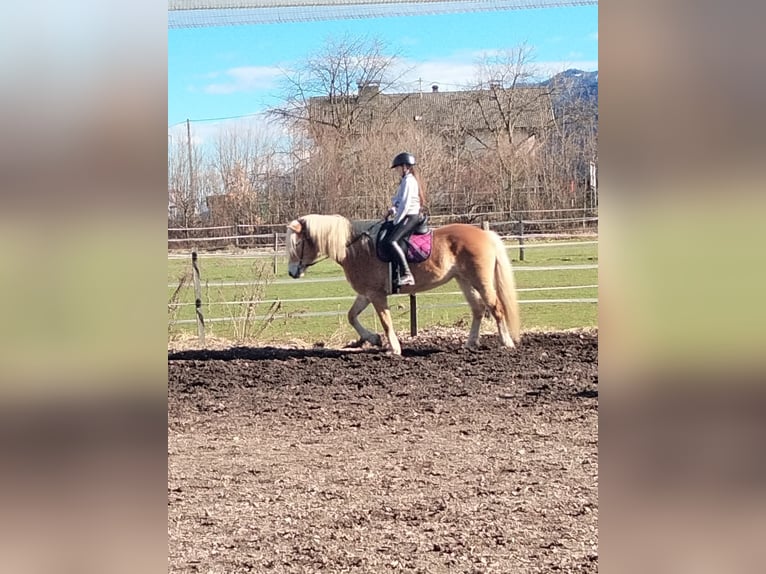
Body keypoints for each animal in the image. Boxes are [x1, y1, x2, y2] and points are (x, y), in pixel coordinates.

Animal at [286, 214, 520, 354]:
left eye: (298, 243)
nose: (291, 272)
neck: (356, 249)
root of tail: (485, 234)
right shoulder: (366, 293)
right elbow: (352, 316)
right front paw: (373, 339)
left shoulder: (377, 294)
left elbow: (386, 321)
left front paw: (394, 348)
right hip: (464, 280)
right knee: (478, 309)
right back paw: (470, 343)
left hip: (481, 280)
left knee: (496, 308)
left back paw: (506, 343)